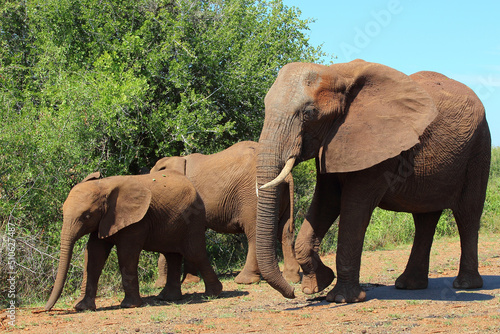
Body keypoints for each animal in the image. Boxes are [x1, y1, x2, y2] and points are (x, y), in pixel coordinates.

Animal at [45, 171, 223, 312]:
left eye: (86, 216)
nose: (46, 309)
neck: (105, 186)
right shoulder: (104, 221)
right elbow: (94, 255)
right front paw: (82, 308)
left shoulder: (136, 221)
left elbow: (126, 254)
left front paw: (129, 305)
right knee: (171, 255)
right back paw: (167, 298)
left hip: (194, 219)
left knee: (194, 253)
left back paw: (213, 294)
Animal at [150, 140, 298, 284]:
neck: (178, 159)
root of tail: (287, 175)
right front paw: (189, 282)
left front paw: (170, 284)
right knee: (284, 232)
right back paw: (291, 278)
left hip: (252, 196)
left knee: (255, 234)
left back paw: (244, 280)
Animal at [256, 59, 490, 302]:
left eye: (310, 113)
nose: (291, 293)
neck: (337, 72)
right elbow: (326, 201)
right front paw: (318, 285)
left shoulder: (378, 147)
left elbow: (354, 209)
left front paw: (342, 298)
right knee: (425, 218)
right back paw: (408, 285)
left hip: (478, 147)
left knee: (468, 213)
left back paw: (466, 284)